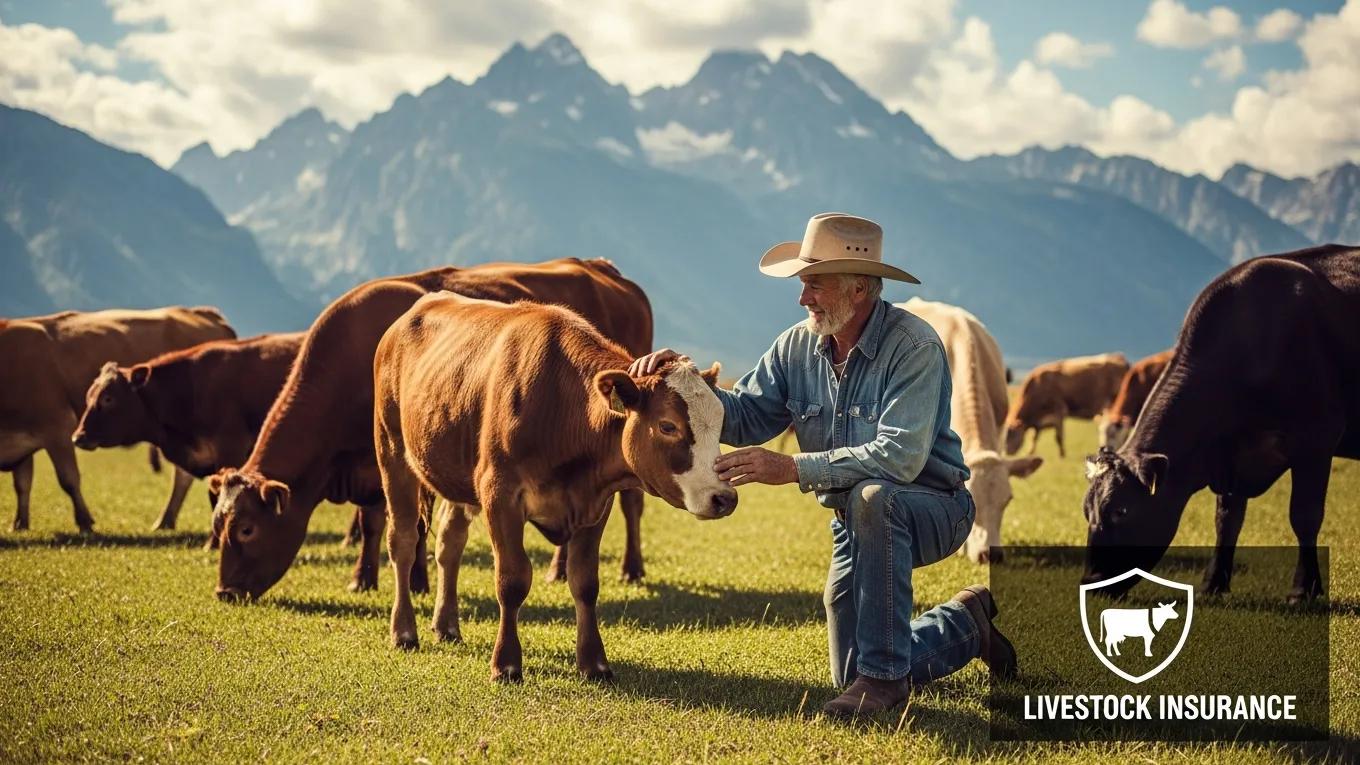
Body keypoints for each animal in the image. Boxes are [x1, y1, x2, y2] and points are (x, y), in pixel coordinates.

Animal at [1, 307, 235, 532]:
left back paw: (164, 520)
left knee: (182, 477)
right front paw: (20, 523)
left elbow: (68, 479)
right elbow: (22, 484)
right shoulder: (23, 441)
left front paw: (85, 521)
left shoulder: (57, 429)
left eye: (106, 399)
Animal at [211, 258, 654, 602]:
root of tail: (603, 268)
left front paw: (407, 582)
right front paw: (368, 578)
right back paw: (560, 569)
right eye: (218, 525)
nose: (224, 592)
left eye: (247, 529)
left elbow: (400, 524)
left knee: (631, 503)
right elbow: (379, 522)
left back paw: (627, 569)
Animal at [373, 292, 736, 682]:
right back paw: (404, 631)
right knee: (402, 541)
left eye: (720, 423)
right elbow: (512, 580)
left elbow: (585, 582)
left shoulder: (596, 503)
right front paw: (506, 664)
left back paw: (447, 625)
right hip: (392, 453)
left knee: (449, 543)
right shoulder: (499, 494)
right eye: (668, 426)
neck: (565, 409)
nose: (724, 497)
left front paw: (594, 662)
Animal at [1083, 245, 1360, 603]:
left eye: (1122, 510)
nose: (1090, 582)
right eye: (1087, 511)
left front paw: (1303, 589)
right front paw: (1213, 583)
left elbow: (1305, 515)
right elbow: (1227, 520)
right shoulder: (1231, 456)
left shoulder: (1317, 438)